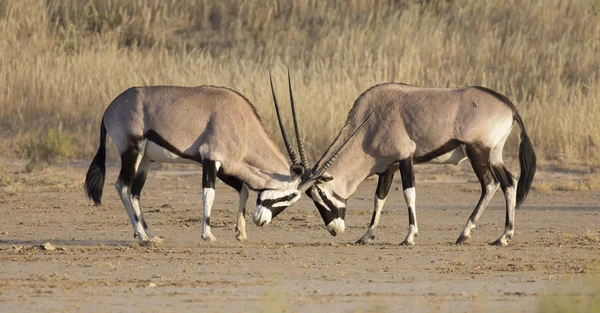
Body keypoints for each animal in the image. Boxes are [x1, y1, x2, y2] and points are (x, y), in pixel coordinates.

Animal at [83, 83, 304, 244]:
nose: (261, 221)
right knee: (122, 186)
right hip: (132, 151)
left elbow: (243, 189)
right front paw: (208, 235)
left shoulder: (225, 166)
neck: (242, 124)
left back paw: (149, 234)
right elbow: (209, 195)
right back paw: (143, 237)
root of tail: (110, 108)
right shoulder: (211, 160)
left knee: (135, 192)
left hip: (144, 160)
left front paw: (240, 232)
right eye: (291, 195)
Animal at [266, 81, 536, 246]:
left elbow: (409, 193)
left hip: (478, 152)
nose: (335, 230)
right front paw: (366, 235)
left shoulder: (406, 159)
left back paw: (471, 233)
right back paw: (499, 236)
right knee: (508, 182)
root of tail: (508, 106)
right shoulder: (388, 167)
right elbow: (379, 198)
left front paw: (409, 236)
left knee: (490, 184)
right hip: (494, 155)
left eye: (319, 195)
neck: (370, 123)